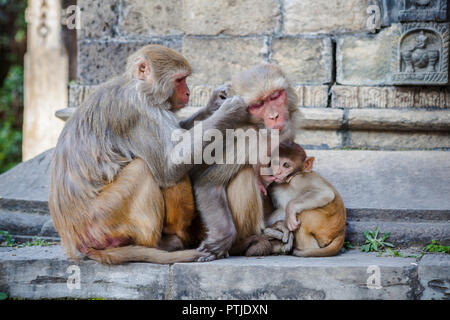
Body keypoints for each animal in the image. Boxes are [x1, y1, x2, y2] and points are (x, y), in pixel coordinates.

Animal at [48, 45, 250, 264]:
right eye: (180, 80)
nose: (188, 93)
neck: (140, 87)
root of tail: (74, 240)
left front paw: (214, 104)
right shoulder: (138, 113)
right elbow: (168, 167)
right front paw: (230, 111)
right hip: (103, 220)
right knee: (144, 168)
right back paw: (163, 242)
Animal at [181, 63, 300, 262]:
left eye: (275, 96)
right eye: (258, 105)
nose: (274, 116)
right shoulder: (244, 139)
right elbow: (208, 182)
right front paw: (222, 238)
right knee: (244, 173)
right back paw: (252, 240)